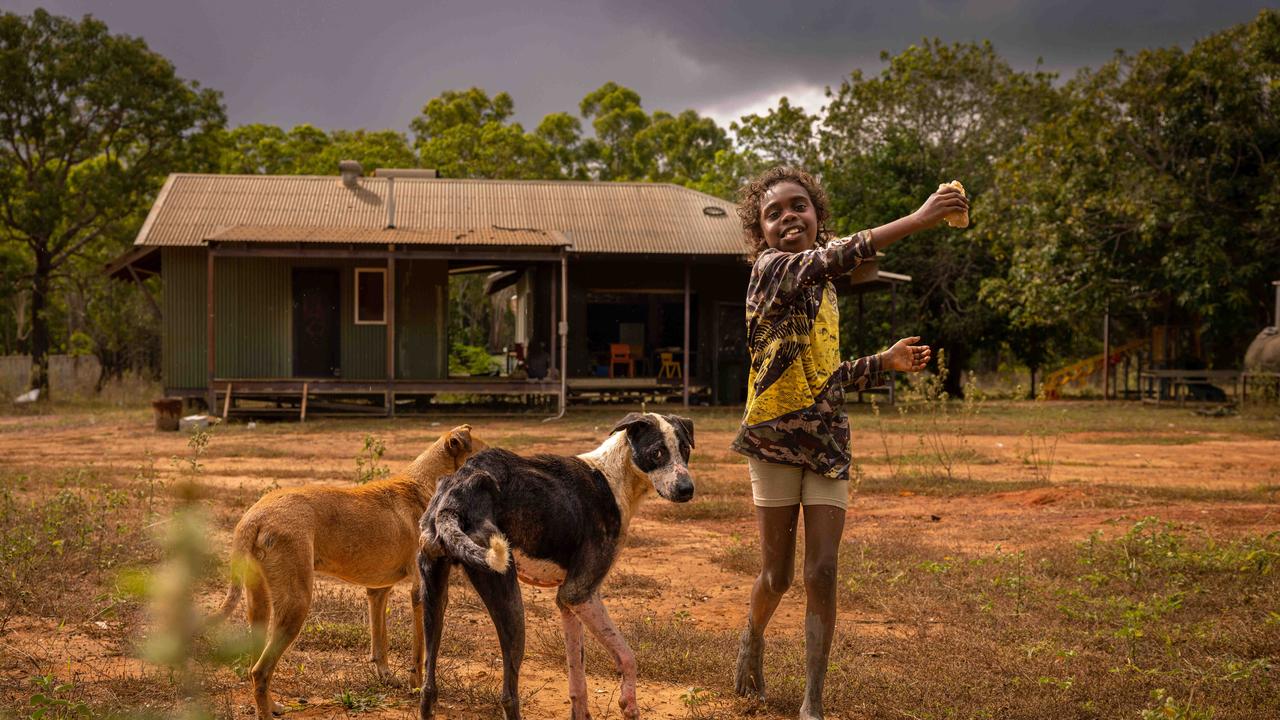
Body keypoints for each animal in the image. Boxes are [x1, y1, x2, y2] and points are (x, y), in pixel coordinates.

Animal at [215, 422, 483, 712]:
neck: (425, 484)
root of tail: (254, 516)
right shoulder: (422, 592)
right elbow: (421, 653)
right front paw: (420, 689)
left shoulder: (377, 591)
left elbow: (380, 643)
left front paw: (387, 677)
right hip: (296, 603)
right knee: (260, 671)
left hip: (260, 606)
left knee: (255, 666)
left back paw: (272, 706)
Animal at [417, 409, 696, 717]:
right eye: (657, 452)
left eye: (685, 450)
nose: (687, 490)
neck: (613, 477)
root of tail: (455, 496)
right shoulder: (580, 593)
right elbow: (627, 656)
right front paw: (630, 704)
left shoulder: (567, 604)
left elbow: (578, 680)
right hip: (511, 604)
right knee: (508, 696)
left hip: (433, 597)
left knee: (428, 688)